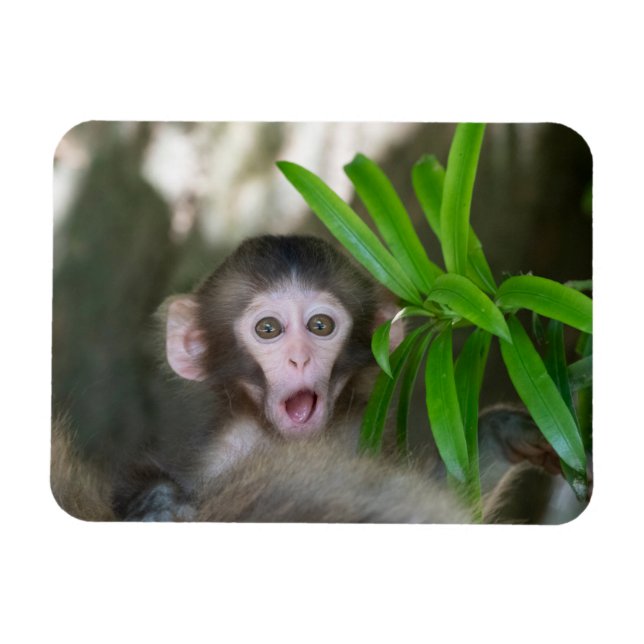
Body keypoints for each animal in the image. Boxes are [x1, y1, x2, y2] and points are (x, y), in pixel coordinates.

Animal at [51, 234, 573, 524]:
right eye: (268, 329)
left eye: (320, 326)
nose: (300, 359)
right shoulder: (223, 459)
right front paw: (156, 503)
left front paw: (503, 433)